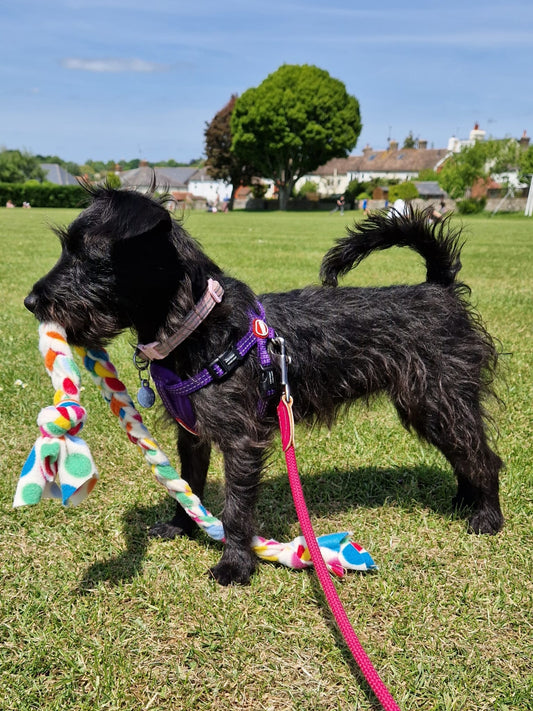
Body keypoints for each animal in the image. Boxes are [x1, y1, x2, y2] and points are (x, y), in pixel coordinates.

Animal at [23, 186, 502, 588]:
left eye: (88, 256)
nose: (30, 302)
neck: (196, 325)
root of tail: (438, 287)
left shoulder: (241, 439)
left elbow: (236, 509)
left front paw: (235, 565)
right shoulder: (191, 434)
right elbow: (188, 484)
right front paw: (181, 526)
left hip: (439, 399)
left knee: (483, 456)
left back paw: (486, 517)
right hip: (429, 407)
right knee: (465, 453)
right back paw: (464, 502)